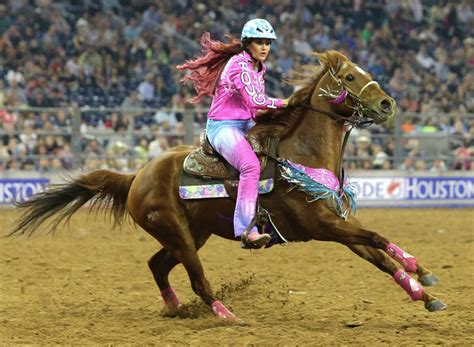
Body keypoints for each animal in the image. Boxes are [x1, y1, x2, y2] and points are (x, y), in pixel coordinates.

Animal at [11, 51, 448, 320]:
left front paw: (425, 291)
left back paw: (176, 308)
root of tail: (136, 176)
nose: (388, 104)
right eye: (350, 76)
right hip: (178, 233)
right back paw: (224, 314)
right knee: (196, 278)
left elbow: (378, 254)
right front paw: (422, 272)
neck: (303, 154)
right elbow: (377, 237)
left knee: (157, 265)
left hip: (192, 233)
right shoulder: (322, 225)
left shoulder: (338, 224)